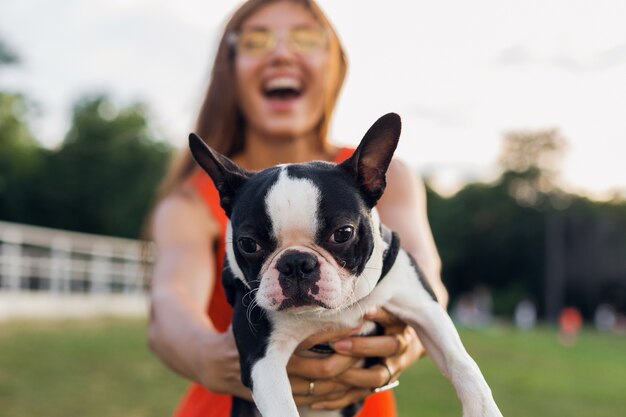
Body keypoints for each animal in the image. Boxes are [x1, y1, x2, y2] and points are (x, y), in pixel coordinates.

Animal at [188, 112, 500, 414]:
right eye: (248, 244)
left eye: (343, 233)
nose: (296, 263)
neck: (330, 312)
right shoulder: (262, 360)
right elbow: (282, 407)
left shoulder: (424, 308)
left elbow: (462, 363)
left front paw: (483, 410)